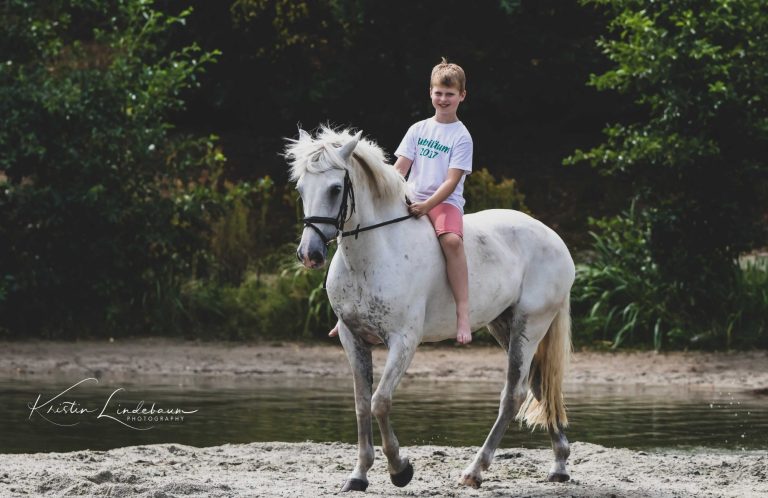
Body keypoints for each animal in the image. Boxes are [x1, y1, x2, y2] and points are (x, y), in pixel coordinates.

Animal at [286, 126, 575, 492]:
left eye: (336, 188)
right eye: (301, 188)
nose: (309, 254)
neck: (372, 253)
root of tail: (553, 237)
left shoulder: (404, 341)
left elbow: (380, 402)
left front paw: (400, 470)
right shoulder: (352, 338)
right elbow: (362, 404)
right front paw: (358, 475)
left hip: (530, 324)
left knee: (514, 394)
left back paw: (475, 471)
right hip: (504, 326)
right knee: (539, 387)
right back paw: (560, 464)